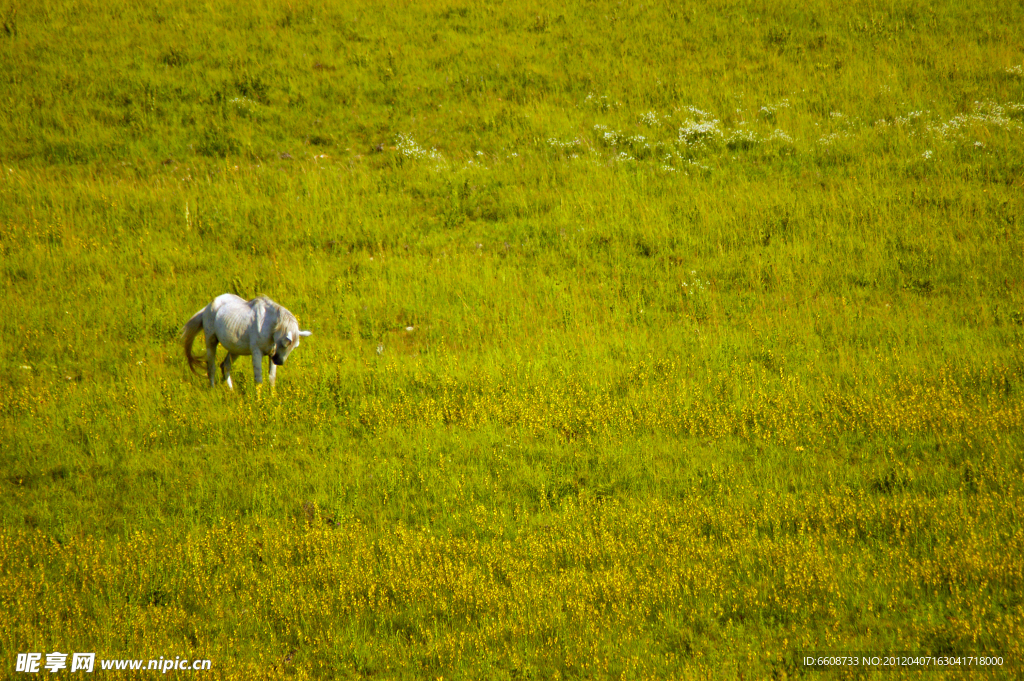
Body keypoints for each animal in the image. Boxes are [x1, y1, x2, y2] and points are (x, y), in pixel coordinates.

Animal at [183, 292, 311, 387]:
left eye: (295, 347)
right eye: (285, 343)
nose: (279, 361)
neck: (268, 326)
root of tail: (208, 306)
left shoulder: (272, 354)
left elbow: (272, 379)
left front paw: (272, 400)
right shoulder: (257, 352)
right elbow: (258, 380)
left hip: (235, 349)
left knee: (225, 365)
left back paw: (231, 392)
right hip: (211, 341)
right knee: (211, 368)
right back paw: (213, 391)